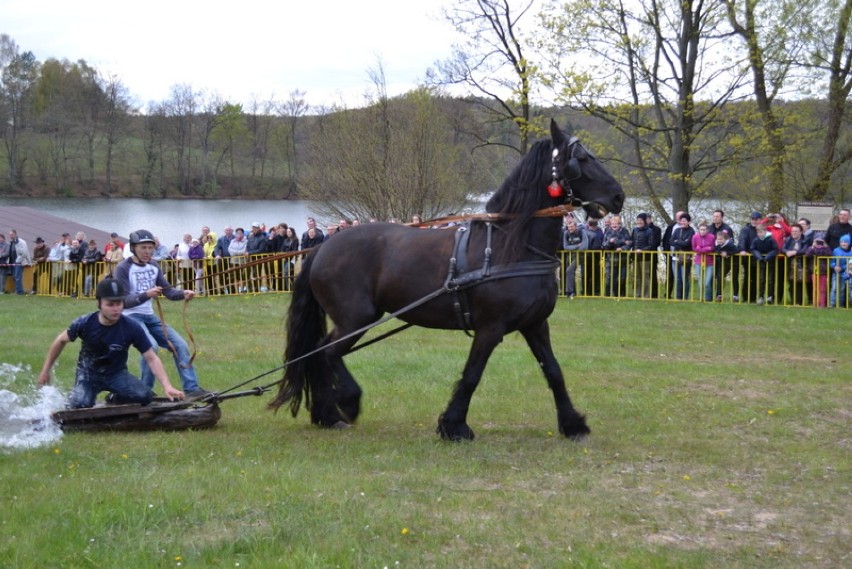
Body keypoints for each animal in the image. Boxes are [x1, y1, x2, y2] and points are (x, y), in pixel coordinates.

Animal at [272, 118, 624, 440]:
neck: (510, 247)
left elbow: (553, 371)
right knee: (326, 353)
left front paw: (573, 424)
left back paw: (327, 415)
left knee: (316, 356)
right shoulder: (490, 327)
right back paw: (346, 403)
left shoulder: (536, 324)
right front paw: (454, 426)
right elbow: (472, 375)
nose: (619, 197)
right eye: (581, 159)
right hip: (356, 319)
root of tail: (324, 246)